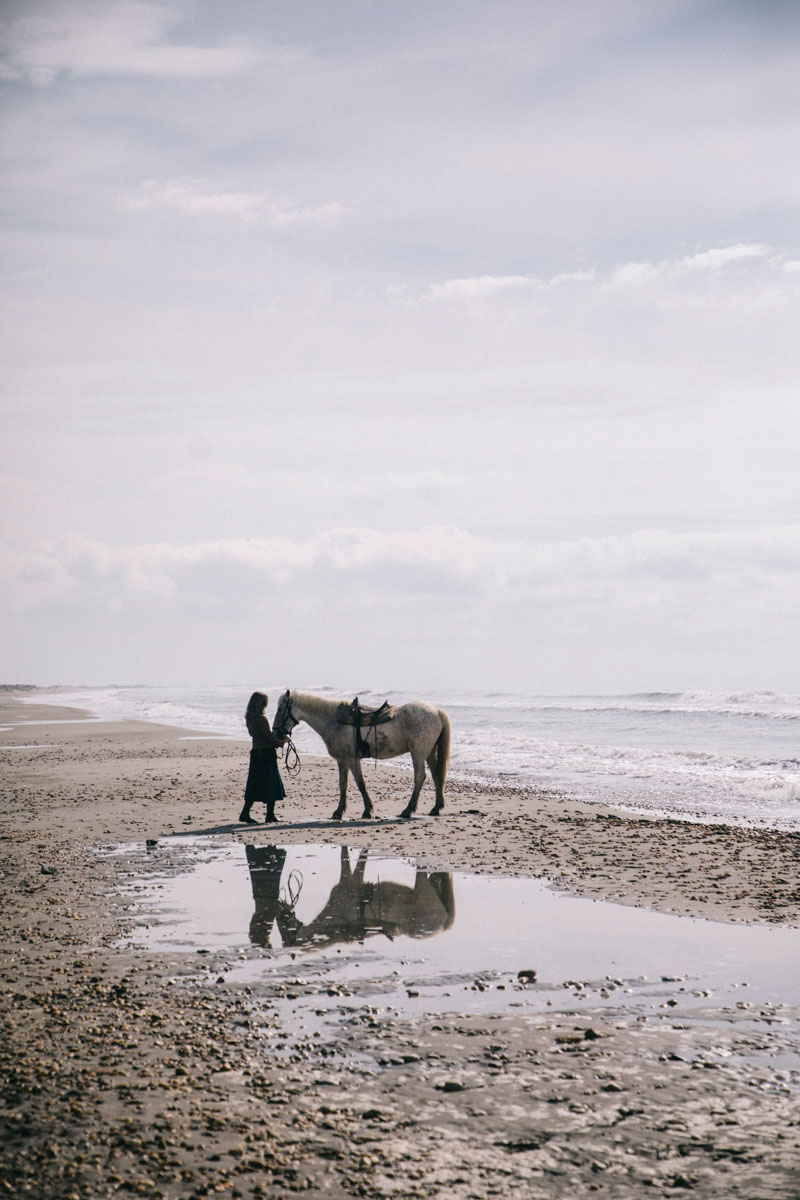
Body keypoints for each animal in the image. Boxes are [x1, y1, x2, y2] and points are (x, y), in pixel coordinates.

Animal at [272, 689, 451, 820]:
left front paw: (367, 811)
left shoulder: (352, 759)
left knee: (420, 777)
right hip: (429, 752)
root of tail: (436, 711)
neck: (334, 721)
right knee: (436, 775)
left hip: (418, 753)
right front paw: (339, 811)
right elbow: (343, 784)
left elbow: (360, 783)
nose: (276, 733)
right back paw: (435, 808)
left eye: (281, 709)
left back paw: (408, 810)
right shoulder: (342, 760)